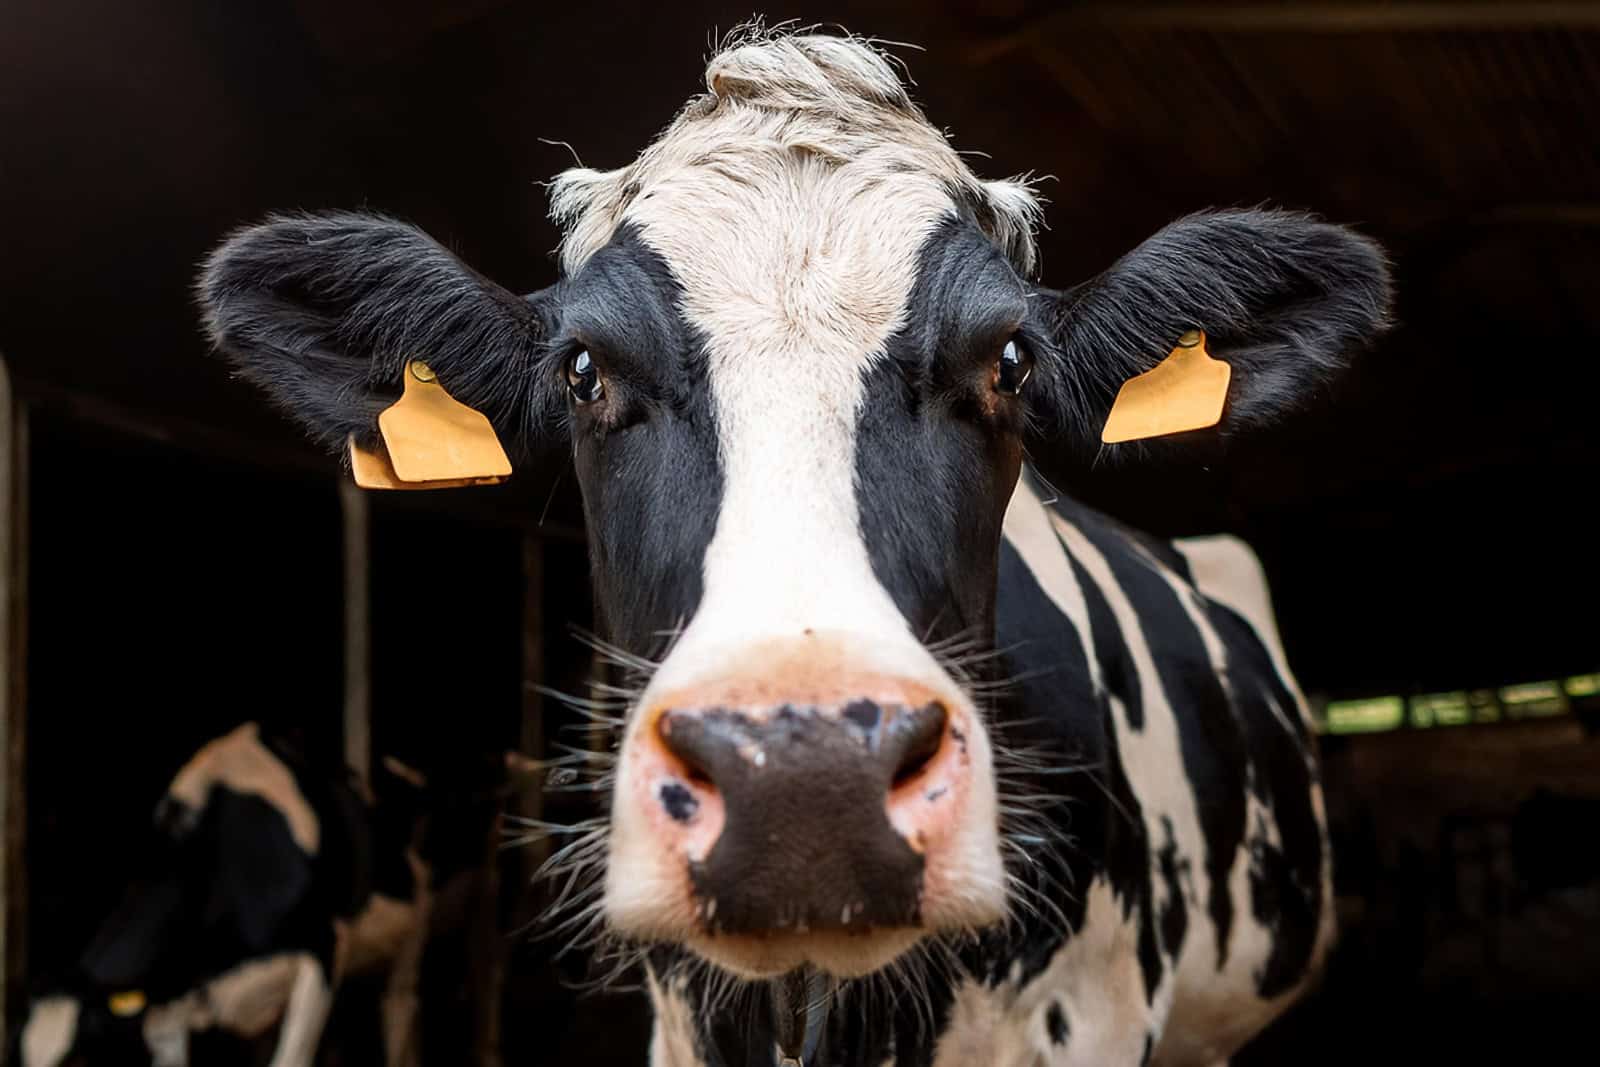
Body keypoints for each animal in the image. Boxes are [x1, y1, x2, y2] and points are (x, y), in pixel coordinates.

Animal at [18, 723, 467, 1062]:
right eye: (15, 1054)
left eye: (79, 1057)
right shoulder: (171, 1007)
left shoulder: (323, 948)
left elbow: (292, 1058)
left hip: (412, 929)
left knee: (400, 1007)